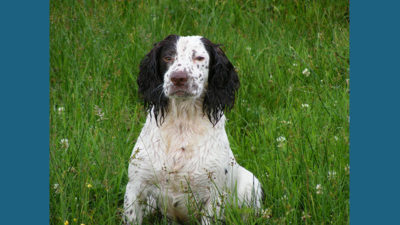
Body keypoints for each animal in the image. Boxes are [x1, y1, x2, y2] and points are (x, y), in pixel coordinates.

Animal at [123, 34, 264, 224]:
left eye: (199, 58)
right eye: (167, 57)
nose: (178, 78)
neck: (182, 125)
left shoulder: (213, 196)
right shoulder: (135, 187)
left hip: (251, 184)